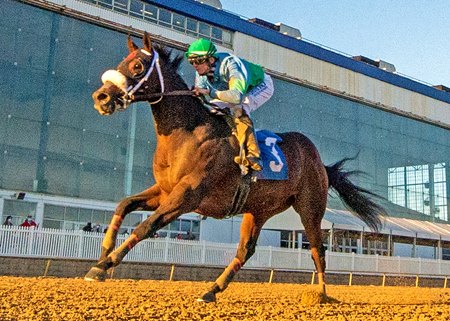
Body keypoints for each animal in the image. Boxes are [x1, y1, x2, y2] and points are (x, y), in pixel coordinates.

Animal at [85, 33, 386, 302]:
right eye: (123, 61)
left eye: (137, 66)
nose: (101, 97)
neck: (187, 132)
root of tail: (319, 161)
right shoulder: (165, 190)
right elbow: (124, 205)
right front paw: (103, 253)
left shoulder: (187, 195)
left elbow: (146, 226)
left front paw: (104, 265)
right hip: (258, 209)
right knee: (245, 251)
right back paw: (211, 290)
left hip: (310, 208)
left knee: (317, 249)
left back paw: (321, 294)